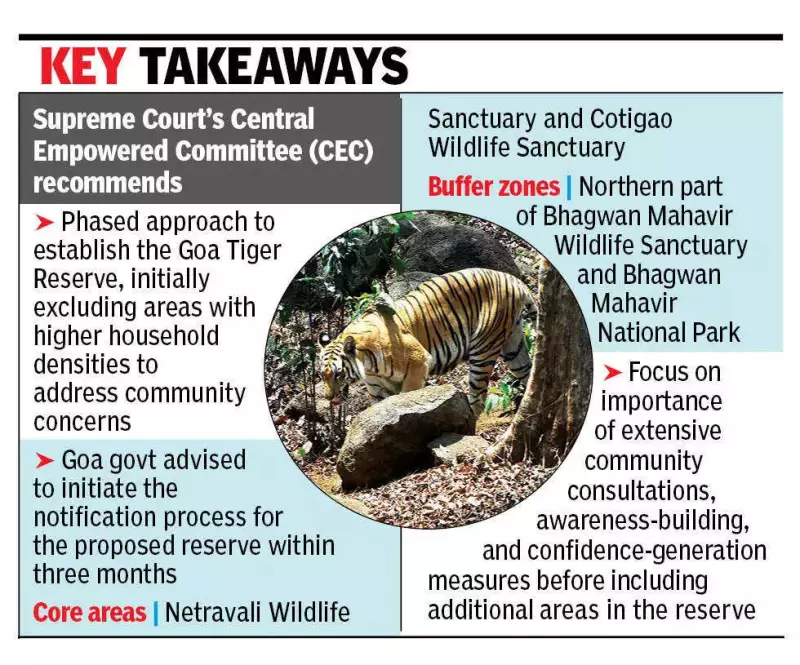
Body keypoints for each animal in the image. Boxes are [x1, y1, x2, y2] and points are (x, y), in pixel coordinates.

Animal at [319, 268, 534, 415]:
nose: (329, 398)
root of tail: (513, 279)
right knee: (529, 372)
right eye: (322, 375)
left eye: (339, 374)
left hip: (483, 349)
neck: (368, 366)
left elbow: (406, 397)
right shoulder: (377, 388)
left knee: (478, 395)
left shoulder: (418, 362)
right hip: (513, 346)